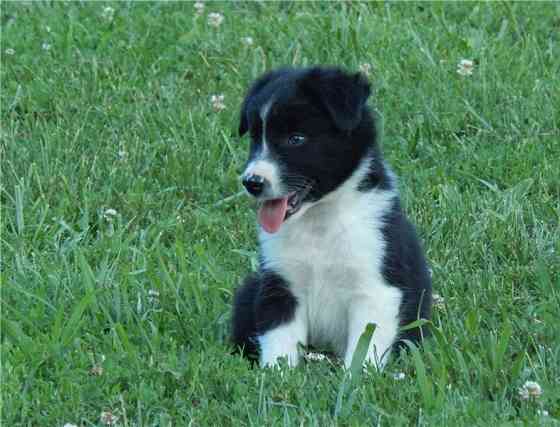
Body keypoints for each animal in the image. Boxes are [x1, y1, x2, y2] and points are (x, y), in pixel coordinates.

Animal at [232, 67, 434, 372]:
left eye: (296, 139)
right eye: (256, 138)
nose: (252, 182)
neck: (319, 218)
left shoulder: (374, 288)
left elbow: (365, 344)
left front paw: (357, 379)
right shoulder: (280, 283)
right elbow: (279, 338)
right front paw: (277, 376)